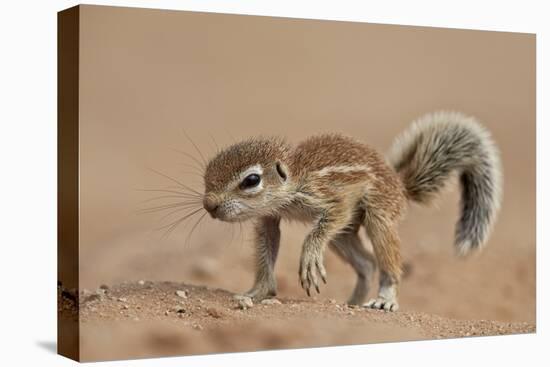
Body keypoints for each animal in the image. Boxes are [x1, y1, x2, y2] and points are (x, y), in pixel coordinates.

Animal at [201, 111, 502, 310]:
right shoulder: (269, 218)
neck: (295, 177)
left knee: (387, 262)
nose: (209, 205)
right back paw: (353, 303)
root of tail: (401, 187)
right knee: (367, 263)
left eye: (252, 180)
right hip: (343, 236)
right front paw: (257, 292)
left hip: (379, 214)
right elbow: (267, 248)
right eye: (207, 173)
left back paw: (385, 299)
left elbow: (324, 223)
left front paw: (309, 257)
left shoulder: (330, 197)